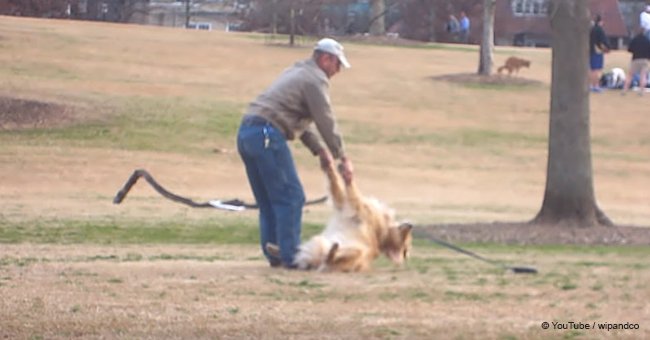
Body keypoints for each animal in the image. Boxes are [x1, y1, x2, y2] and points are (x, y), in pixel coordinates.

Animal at [266, 161, 412, 270]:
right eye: (406, 245)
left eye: (404, 248)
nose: (411, 225)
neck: (382, 233)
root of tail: (316, 261)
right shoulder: (343, 205)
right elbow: (335, 184)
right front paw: (330, 166)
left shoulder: (354, 206)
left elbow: (349, 188)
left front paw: (346, 174)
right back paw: (274, 248)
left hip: (355, 251)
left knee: (330, 259)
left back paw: (332, 251)